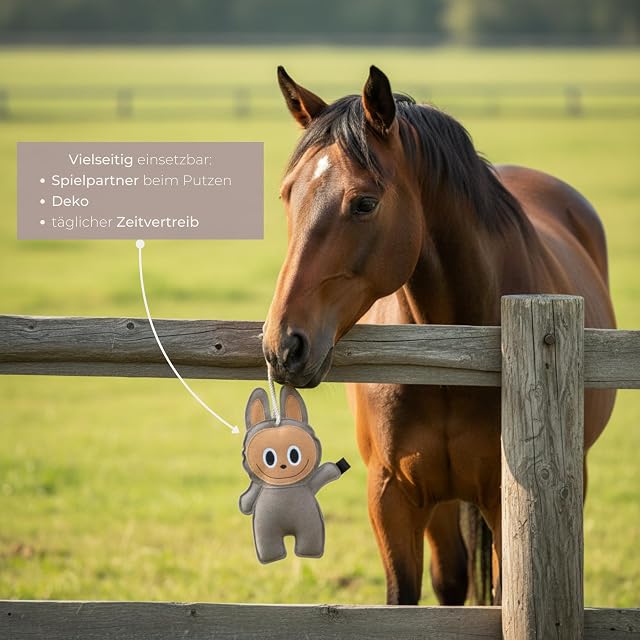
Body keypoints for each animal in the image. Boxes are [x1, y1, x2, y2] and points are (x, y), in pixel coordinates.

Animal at [262, 65, 616, 605]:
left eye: (364, 203)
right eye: (288, 194)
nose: (284, 346)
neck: (449, 354)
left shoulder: (503, 496)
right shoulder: (391, 495)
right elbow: (407, 595)